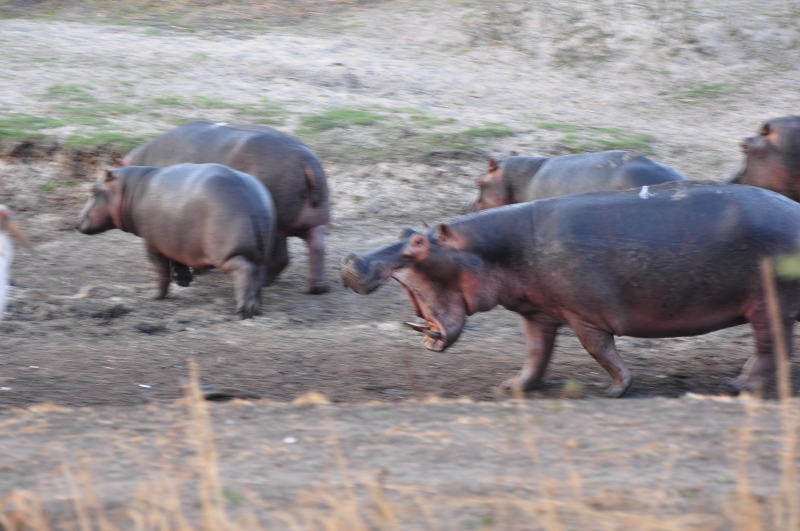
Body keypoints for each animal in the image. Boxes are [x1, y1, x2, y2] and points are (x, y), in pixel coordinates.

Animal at [77, 164, 276, 319]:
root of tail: (252, 199)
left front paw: (154, 296)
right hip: (260, 255)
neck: (130, 190)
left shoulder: (153, 244)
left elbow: (161, 271)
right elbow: (177, 261)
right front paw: (183, 280)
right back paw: (256, 308)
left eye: (94, 190)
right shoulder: (175, 241)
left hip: (229, 255)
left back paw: (244, 311)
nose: (76, 220)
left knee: (244, 270)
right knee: (256, 275)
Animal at [123, 121, 329, 294]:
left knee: (281, 257)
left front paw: (184, 276)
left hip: (278, 223)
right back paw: (314, 288)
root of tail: (307, 162)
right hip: (310, 220)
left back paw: (265, 283)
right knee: (316, 245)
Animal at [341, 181, 800, 397]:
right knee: (775, 349)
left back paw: (737, 386)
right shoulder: (538, 313)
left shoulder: (584, 316)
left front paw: (615, 389)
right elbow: (535, 355)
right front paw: (512, 388)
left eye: (418, 243)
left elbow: (600, 350)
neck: (489, 250)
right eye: (404, 231)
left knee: (770, 347)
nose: (350, 260)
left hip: (768, 304)